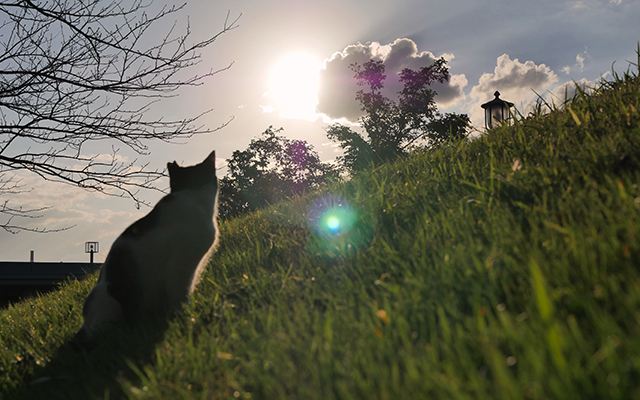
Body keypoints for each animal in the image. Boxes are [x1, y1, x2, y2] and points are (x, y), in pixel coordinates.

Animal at [74, 150, 220, 345]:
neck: (190, 194)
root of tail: (84, 326)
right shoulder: (178, 267)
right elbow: (181, 297)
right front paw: (188, 319)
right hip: (109, 298)